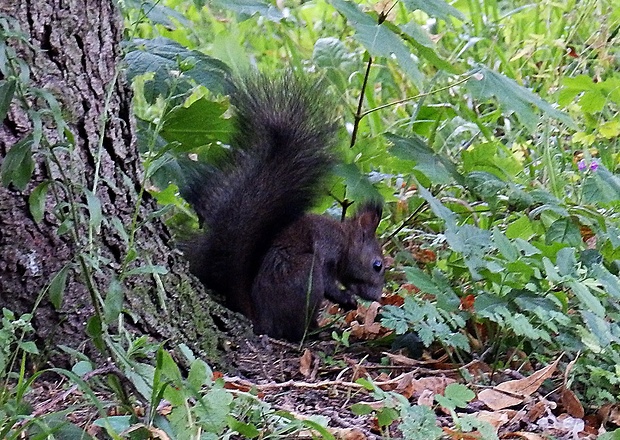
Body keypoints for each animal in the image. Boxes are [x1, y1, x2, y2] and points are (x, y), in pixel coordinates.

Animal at [180, 74, 382, 340]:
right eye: (378, 265)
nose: (378, 297)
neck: (344, 239)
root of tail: (261, 321)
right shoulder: (326, 248)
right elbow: (329, 282)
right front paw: (345, 298)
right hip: (304, 274)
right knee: (296, 328)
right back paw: (317, 331)